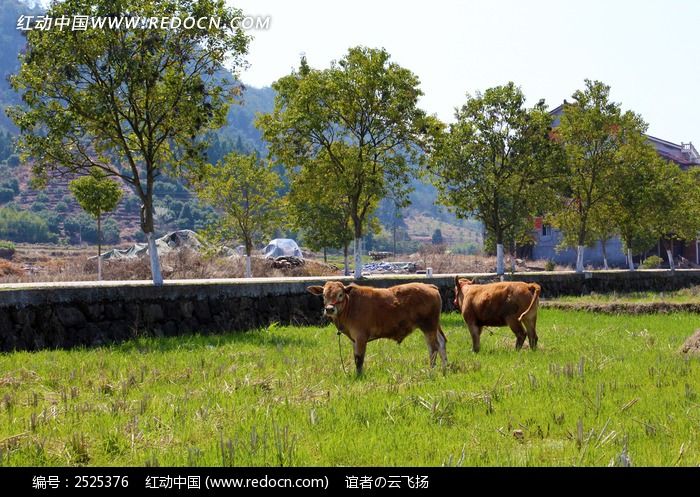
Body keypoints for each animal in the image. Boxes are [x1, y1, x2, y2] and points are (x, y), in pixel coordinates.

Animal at [308, 280, 448, 374]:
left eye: (340, 294)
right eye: (324, 295)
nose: (329, 309)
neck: (351, 305)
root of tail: (429, 286)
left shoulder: (361, 337)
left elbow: (359, 359)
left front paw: (359, 376)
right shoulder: (354, 340)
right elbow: (355, 358)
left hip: (428, 326)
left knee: (433, 348)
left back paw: (431, 371)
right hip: (434, 327)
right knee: (442, 343)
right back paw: (444, 368)